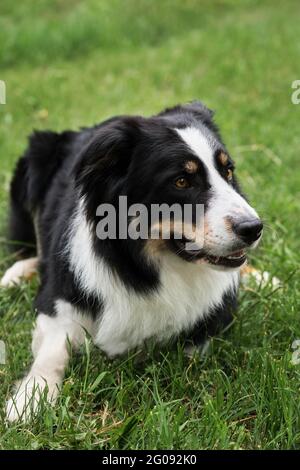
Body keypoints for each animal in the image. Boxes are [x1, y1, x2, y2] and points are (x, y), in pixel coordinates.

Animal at [2, 101, 262, 420]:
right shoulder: (58, 301)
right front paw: (30, 399)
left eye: (228, 172)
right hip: (34, 161)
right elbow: (52, 352)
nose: (254, 228)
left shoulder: (212, 317)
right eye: (181, 181)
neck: (151, 266)